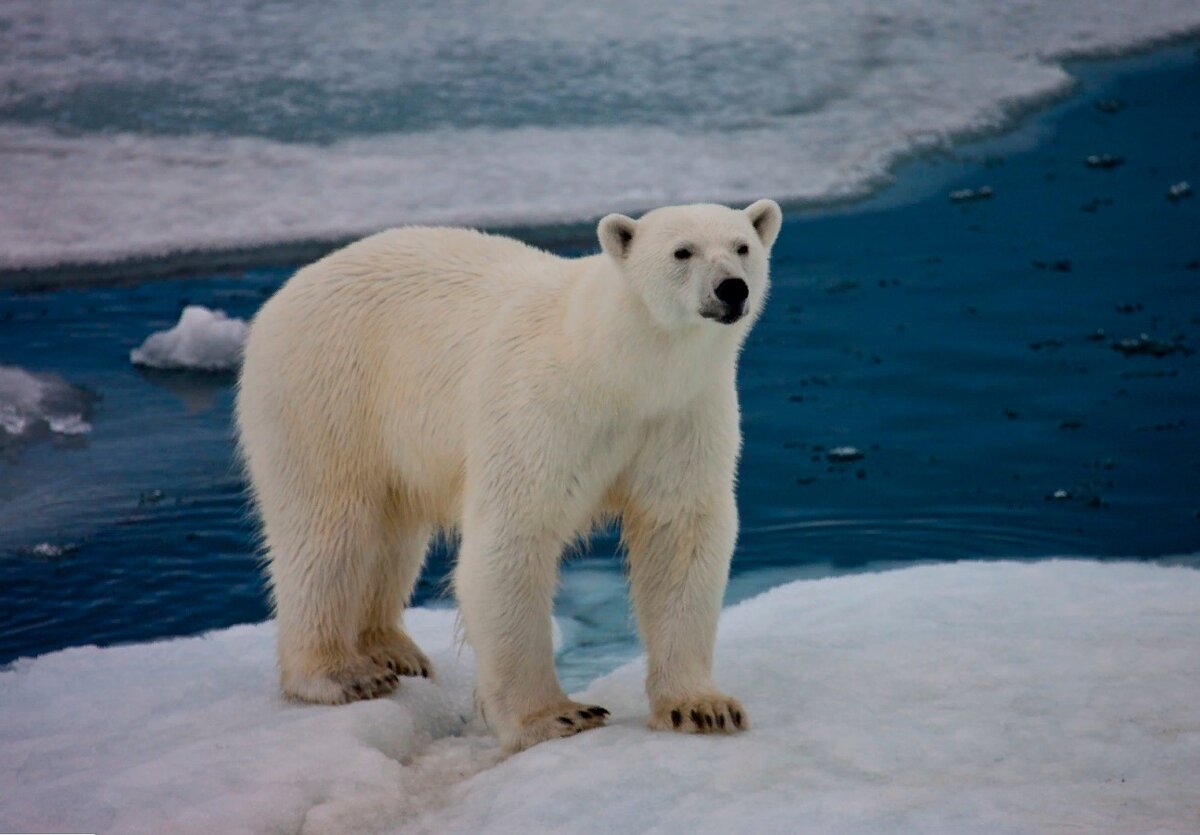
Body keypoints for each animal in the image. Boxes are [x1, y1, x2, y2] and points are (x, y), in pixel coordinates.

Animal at [235, 199, 782, 753]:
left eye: (741, 246)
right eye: (682, 251)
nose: (731, 288)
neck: (617, 367)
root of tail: (288, 291)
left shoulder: (681, 416)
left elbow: (680, 532)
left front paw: (702, 706)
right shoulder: (543, 407)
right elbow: (514, 535)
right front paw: (556, 715)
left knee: (392, 533)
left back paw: (394, 650)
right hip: (328, 391)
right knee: (329, 529)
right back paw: (340, 673)